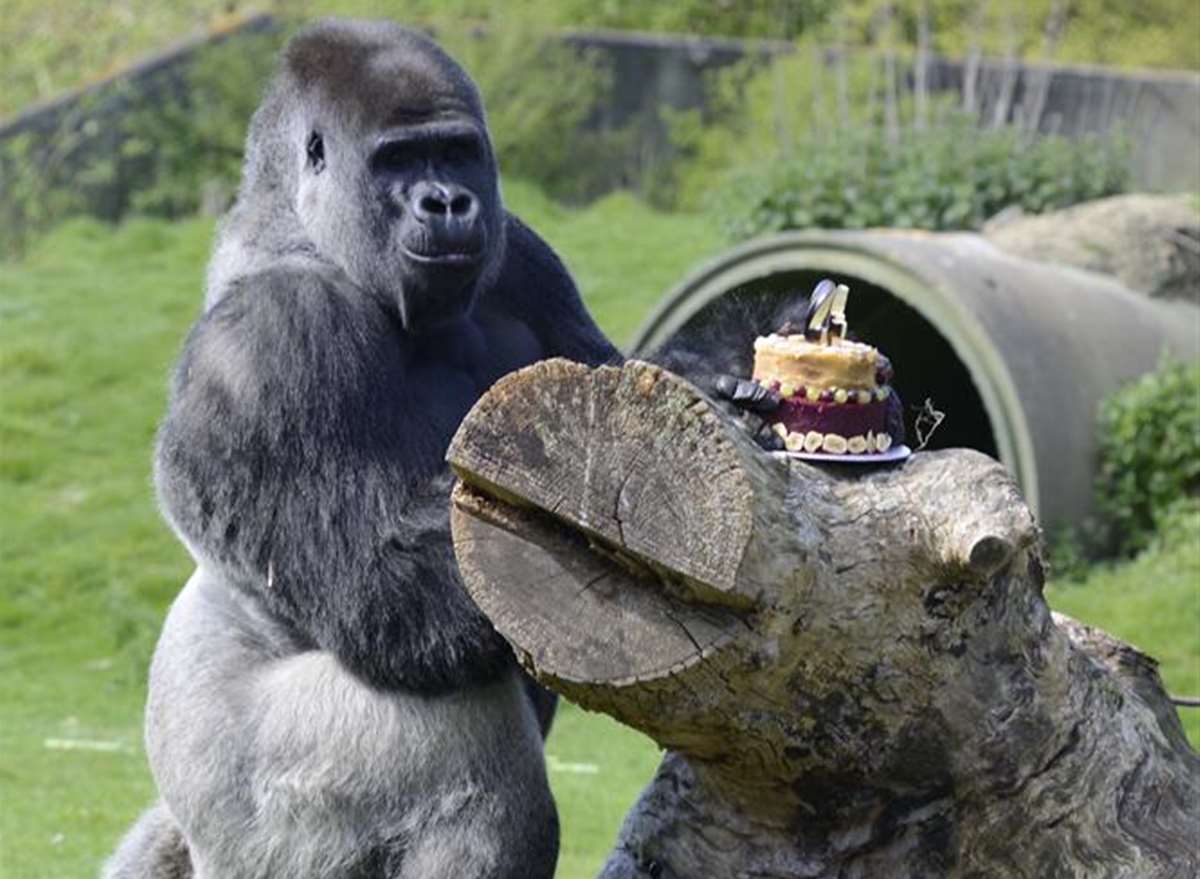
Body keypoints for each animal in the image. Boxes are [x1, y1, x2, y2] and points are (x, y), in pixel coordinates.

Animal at [103, 20, 619, 879]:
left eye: (455, 153)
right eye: (397, 161)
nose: (446, 200)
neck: (302, 224)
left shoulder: (525, 254)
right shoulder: (277, 336)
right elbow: (384, 578)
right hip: (246, 810)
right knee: (470, 757)